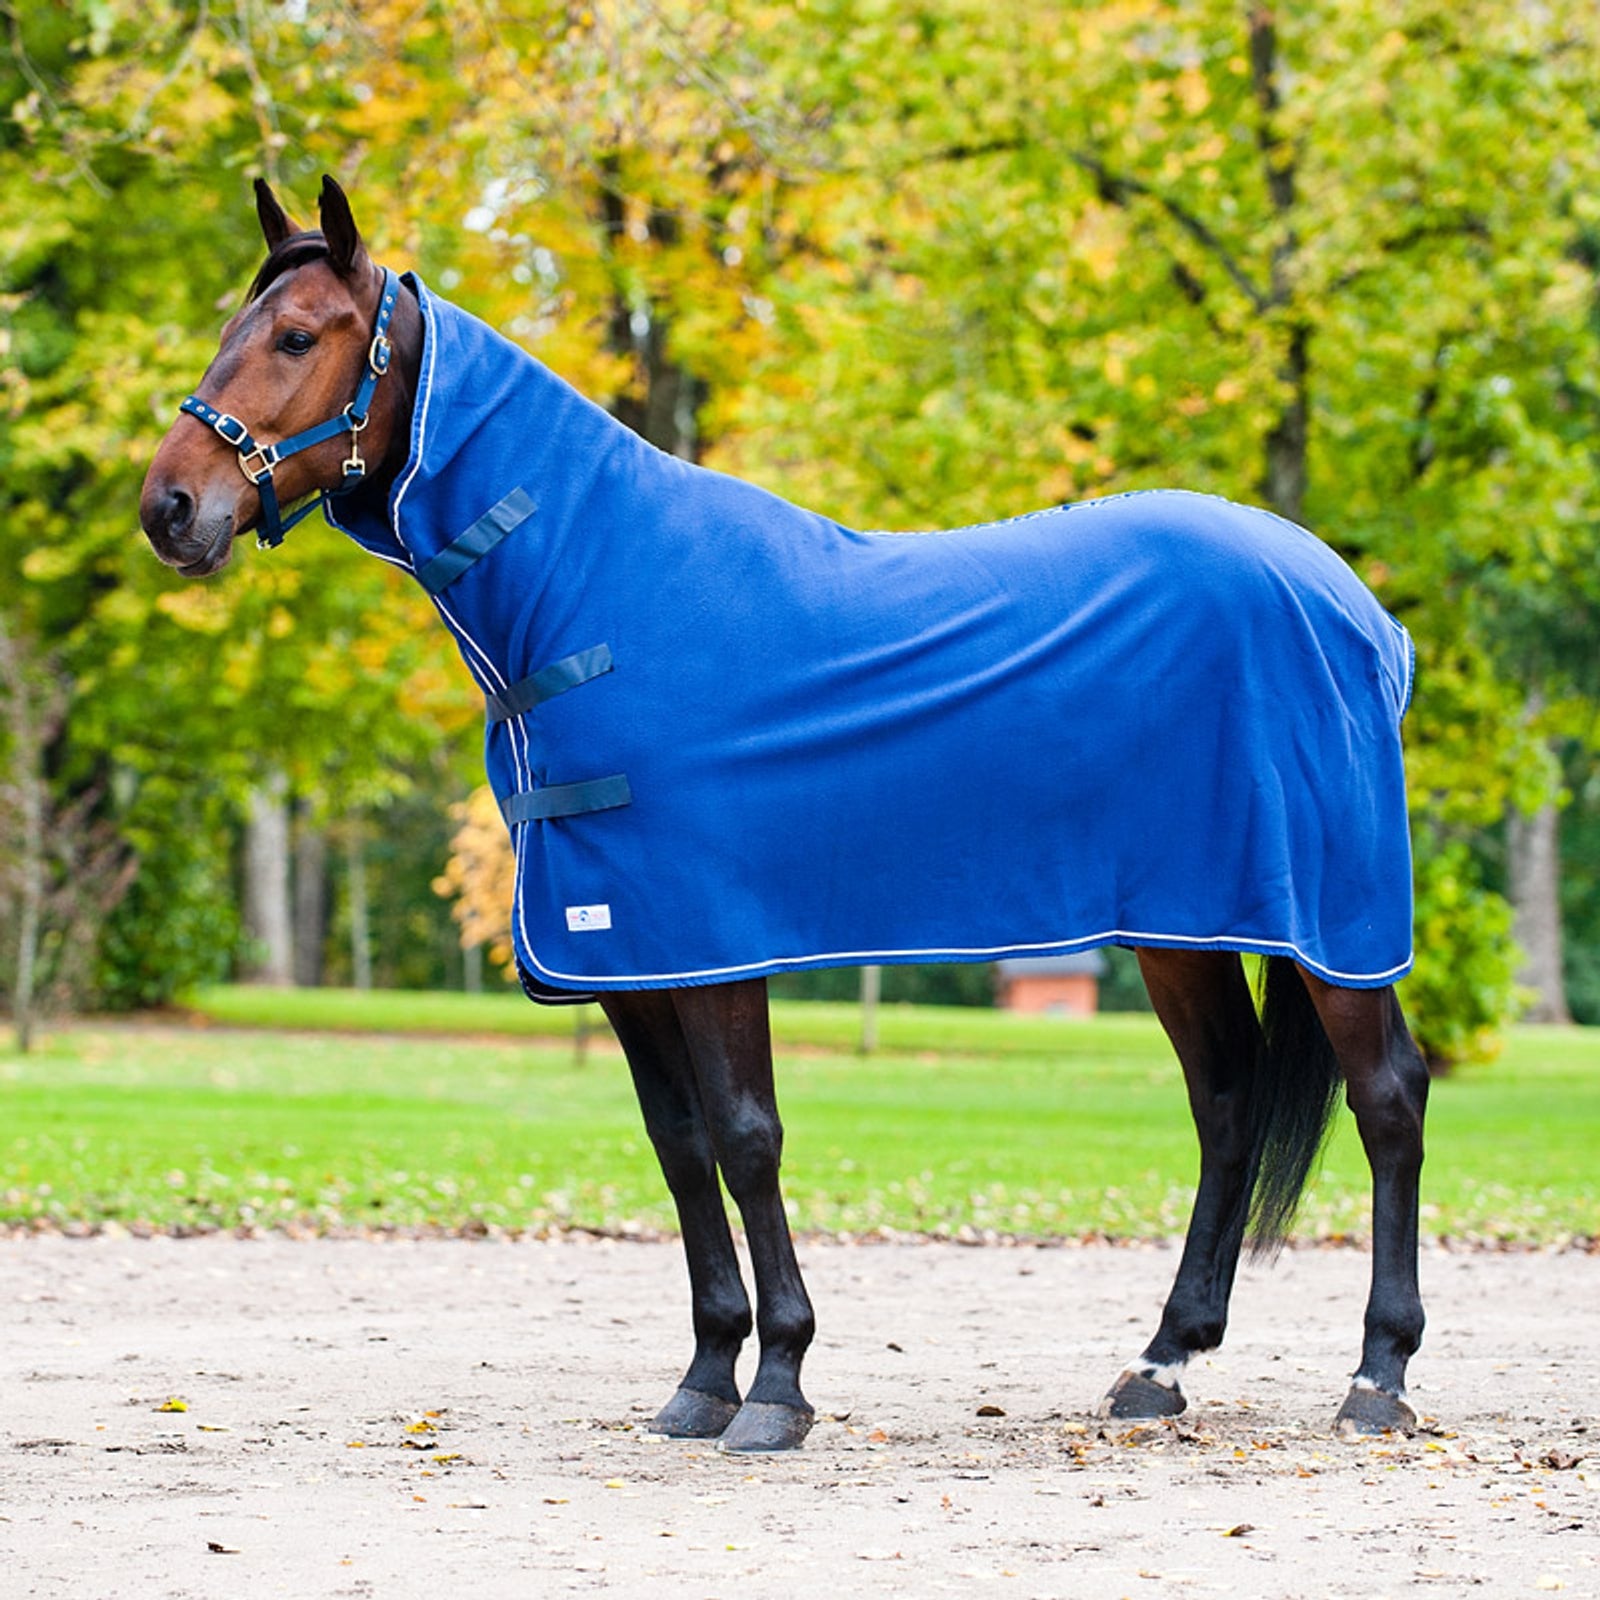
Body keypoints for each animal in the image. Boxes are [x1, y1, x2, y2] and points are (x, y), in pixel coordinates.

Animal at [140, 176, 1431, 1454]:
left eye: (297, 337)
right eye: (231, 329)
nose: (170, 507)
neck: (604, 585)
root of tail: (1355, 606)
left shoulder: (714, 943)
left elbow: (746, 1136)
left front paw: (777, 1386)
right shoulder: (627, 953)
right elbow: (679, 1145)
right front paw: (704, 1375)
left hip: (1332, 925)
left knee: (1387, 1096)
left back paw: (1376, 1375)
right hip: (1181, 928)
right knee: (1225, 1105)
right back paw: (1160, 1363)